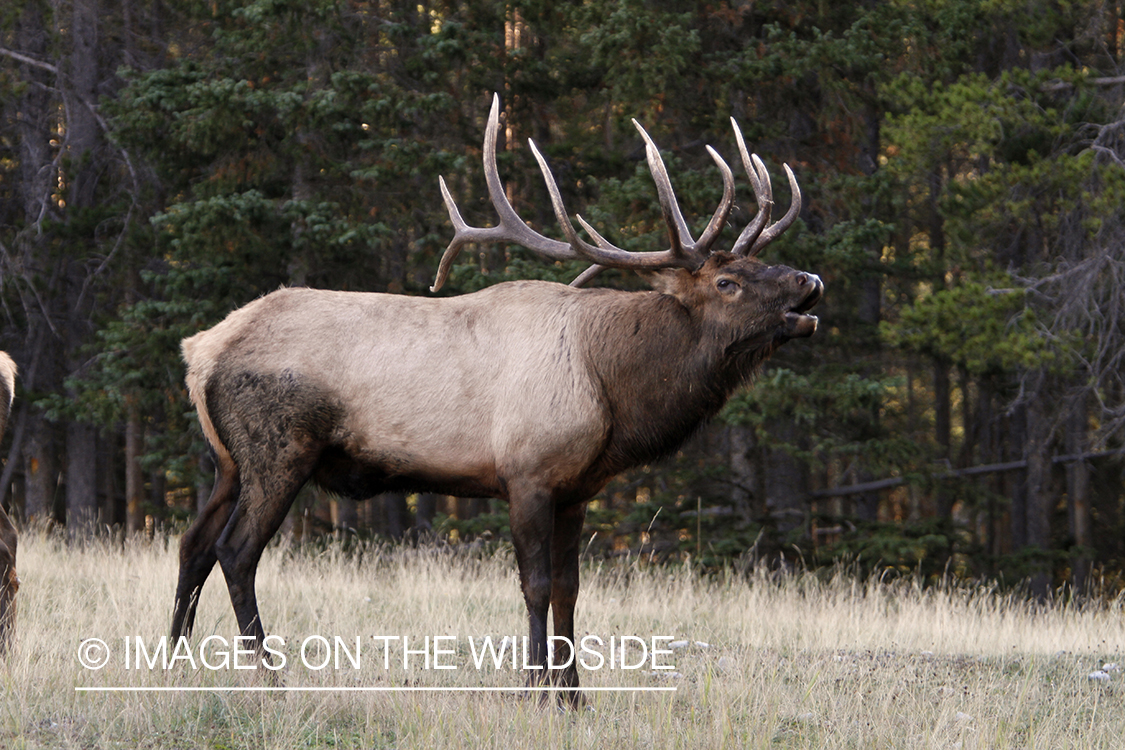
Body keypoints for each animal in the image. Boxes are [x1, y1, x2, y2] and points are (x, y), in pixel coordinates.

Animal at [173, 96, 828, 706]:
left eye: (758, 263)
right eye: (727, 282)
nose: (808, 279)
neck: (612, 391)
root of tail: (200, 349)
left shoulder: (577, 488)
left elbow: (568, 589)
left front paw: (575, 695)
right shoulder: (527, 472)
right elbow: (534, 584)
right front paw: (536, 691)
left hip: (227, 461)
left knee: (193, 543)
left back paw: (174, 664)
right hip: (279, 449)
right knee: (236, 551)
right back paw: (270, 676)